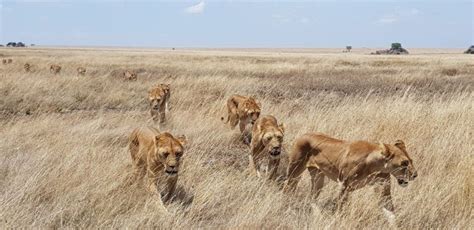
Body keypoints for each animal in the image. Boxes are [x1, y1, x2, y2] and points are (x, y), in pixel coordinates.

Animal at [284, 133, 416, 223]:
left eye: (411, 161)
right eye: (404, 163)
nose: (415, 175)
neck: (374, 165)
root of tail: (304, 134)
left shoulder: (383, 187)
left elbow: (390, 212)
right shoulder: (344, 184)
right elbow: (340, 206)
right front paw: (338, 220)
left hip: (318, 177)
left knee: (312, 197)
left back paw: (318, 216)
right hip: (295, 171)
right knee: (287, 188)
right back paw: (287, 208)